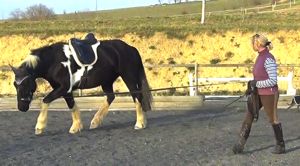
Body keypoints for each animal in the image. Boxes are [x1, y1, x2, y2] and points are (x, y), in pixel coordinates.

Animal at [11, 33, 152, 135]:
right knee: (111, 97)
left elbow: (45, 101)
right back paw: (95, 122)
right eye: (15, 85)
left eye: (26, 84)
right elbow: (72, 105)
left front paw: (39, 127)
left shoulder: (63, 88)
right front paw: (76, 126)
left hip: (129, 77)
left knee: (137, 97)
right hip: (106, 81)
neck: (54, 61)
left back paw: (140, 123)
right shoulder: (65, 90)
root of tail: (131, 48)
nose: (21, 107)